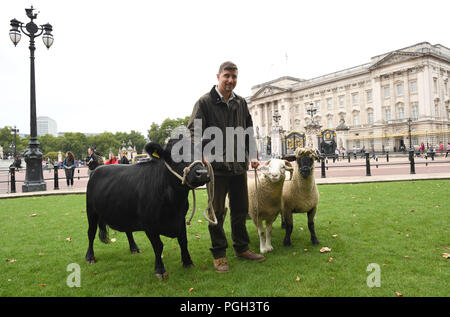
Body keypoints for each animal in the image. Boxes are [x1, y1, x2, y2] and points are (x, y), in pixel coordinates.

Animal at [85, 139, 211, 278]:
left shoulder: (180, 218)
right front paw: (160, 269)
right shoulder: (149, 224)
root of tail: (97, 169)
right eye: (175, 155)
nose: (203, 173)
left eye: (200, 152)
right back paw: (90, 257)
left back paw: (134, 248)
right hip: (91, 211)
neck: (173, 203)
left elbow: (183, 240)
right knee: (91, 233)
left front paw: (188, 262)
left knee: (128, 231)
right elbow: (158, 246)